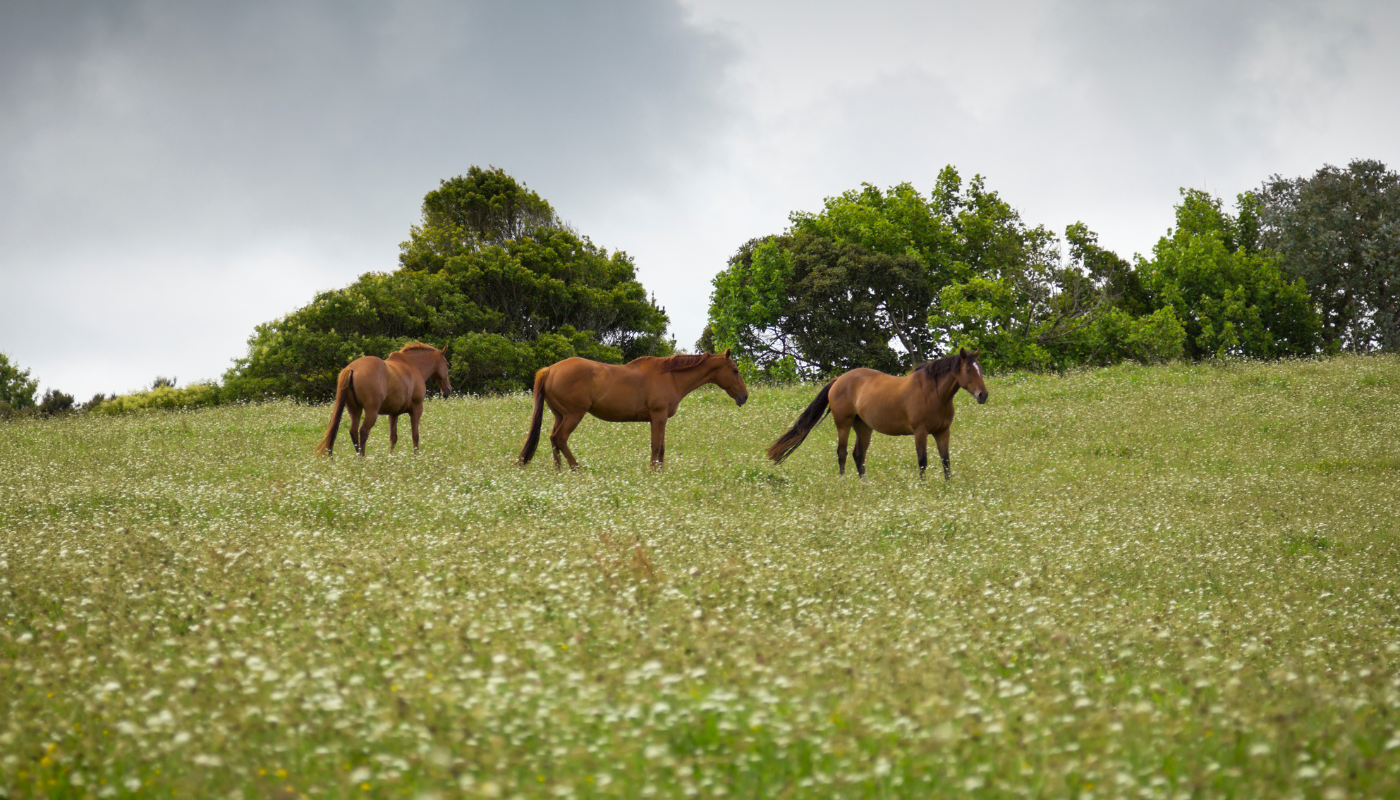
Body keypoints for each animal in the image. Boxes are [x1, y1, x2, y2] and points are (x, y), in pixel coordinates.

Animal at [315, 343, 450, 456]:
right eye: (447, 365)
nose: (448, 390)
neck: (412, 366)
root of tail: (352, 368)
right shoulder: (416, 409)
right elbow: (415, 435)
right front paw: (416, 457)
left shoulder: (393, 413)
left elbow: (393, 437)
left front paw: (391, 457)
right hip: (371, 412)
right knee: (363, 432)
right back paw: (362, 458)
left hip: (355, 410)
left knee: (353, 432)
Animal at [520, 350, 750, 470]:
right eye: (735, 370)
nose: (745, 396)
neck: (671, 376)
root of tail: (550, 370)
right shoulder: (658, 417)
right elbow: (656, 447)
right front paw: (653, 471)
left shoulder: (661, 419)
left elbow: (662, 448)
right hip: (573, 415)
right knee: (560, 438)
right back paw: (576, 468)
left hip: (560, 415)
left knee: (553, 439)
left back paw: (559, 470)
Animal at [767, 347, 985, 479]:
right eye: (968, 369)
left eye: (980, 369)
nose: (983, 395)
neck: (934, 393)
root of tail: (838, 380)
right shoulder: (920, 432)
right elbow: (923, 461)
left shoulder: (943, 432)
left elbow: (946, 461)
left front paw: (948, 487)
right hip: (844, 424)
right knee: (842, 453)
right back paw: (843, 484)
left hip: (863, 427)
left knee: (858, 455)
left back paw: (865, 486)